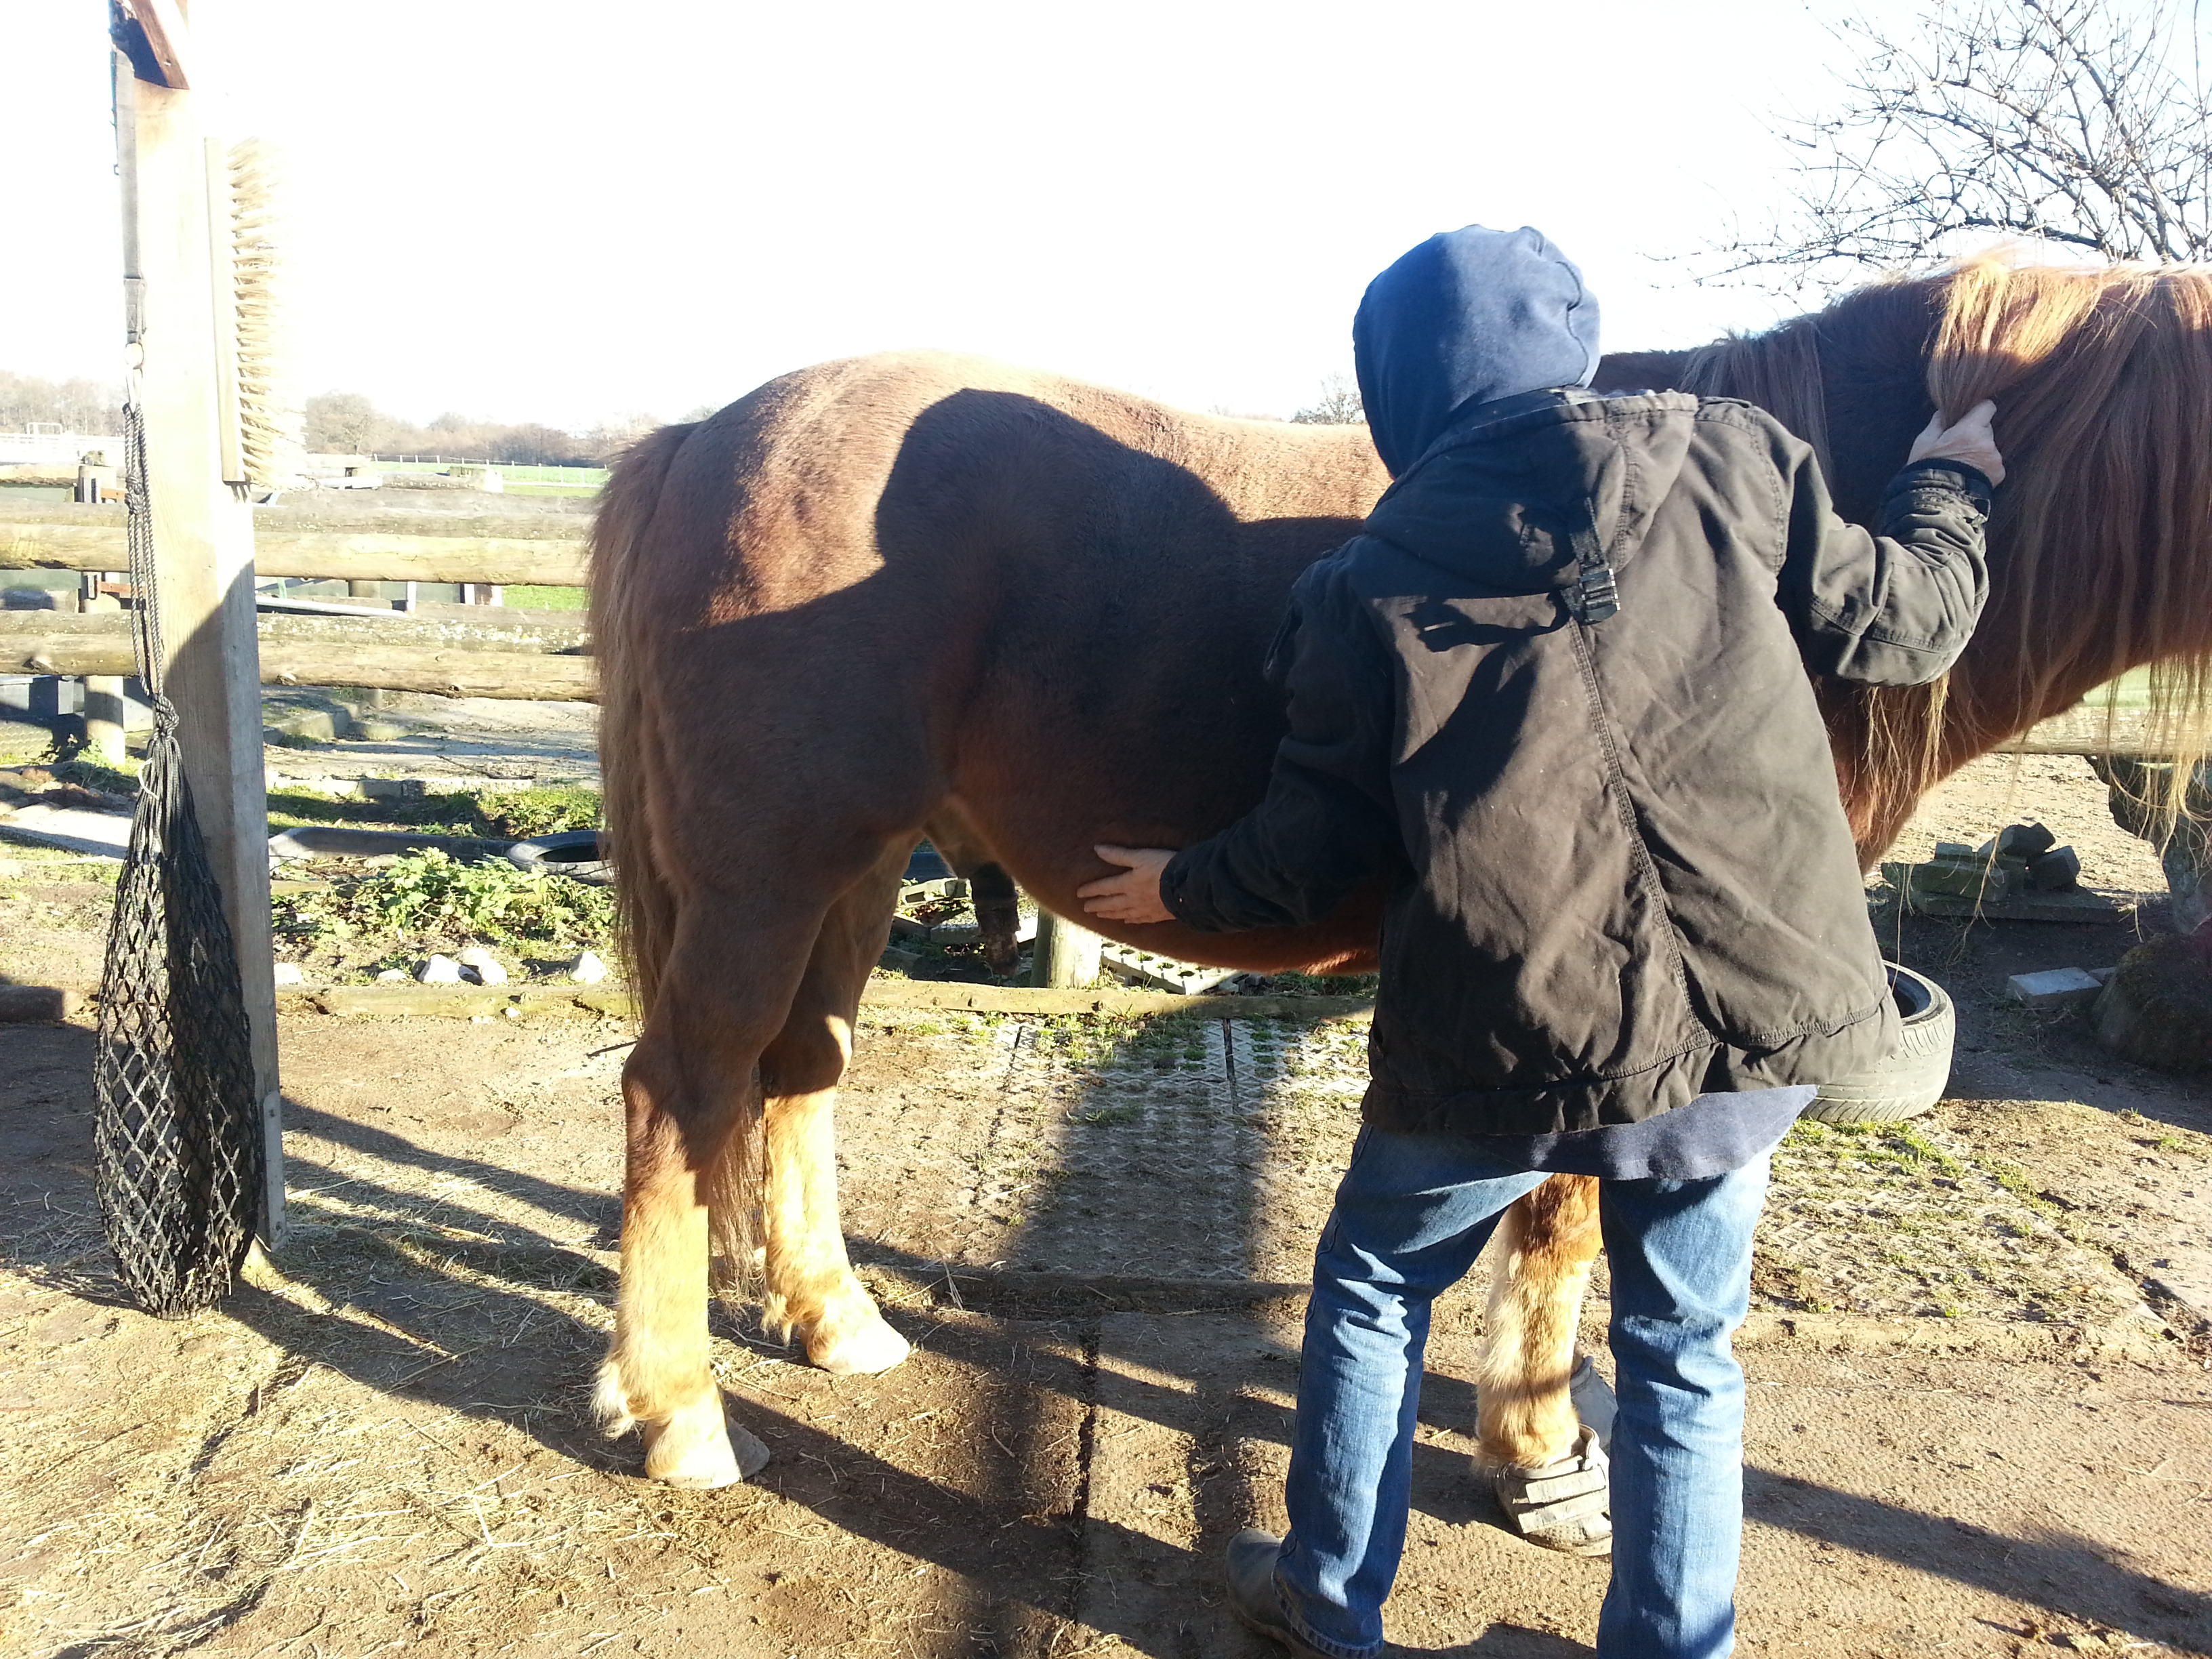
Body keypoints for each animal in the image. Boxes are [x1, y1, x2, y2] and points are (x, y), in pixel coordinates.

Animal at [583, 253, 2212, 1504]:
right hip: (764, 871)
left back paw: (835, 1325)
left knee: (798, 1076)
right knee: (683, 1092)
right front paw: (1539, 1459)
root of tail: (701, 435)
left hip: (854, 872)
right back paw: (682, 1417)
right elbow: (1561, 1224)